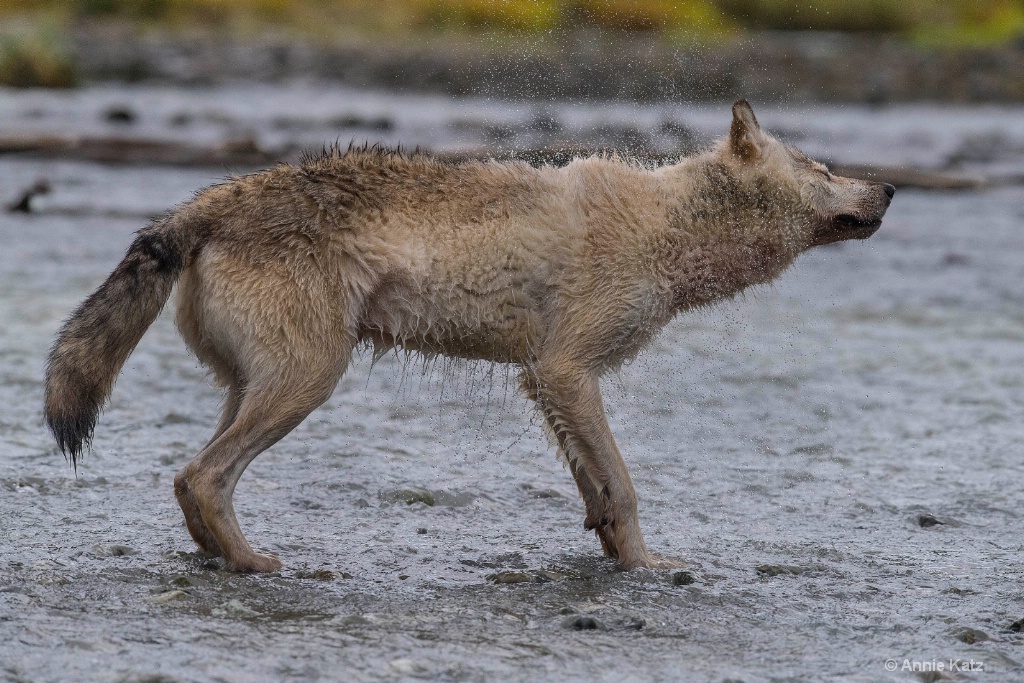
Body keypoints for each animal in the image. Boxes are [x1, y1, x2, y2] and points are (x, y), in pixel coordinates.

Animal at [48, 101, 892, 573]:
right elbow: (624, 485)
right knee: (204, 475)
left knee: (186, 478)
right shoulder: (567, 371)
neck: (669, 226)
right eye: (822, 167)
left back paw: (222, 558)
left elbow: (595, 488)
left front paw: (613, 553)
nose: (889, 187)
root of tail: (206, 203)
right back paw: (257, 564)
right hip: (307, 383)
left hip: (258, 387)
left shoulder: (545, 380)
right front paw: (650, 568)